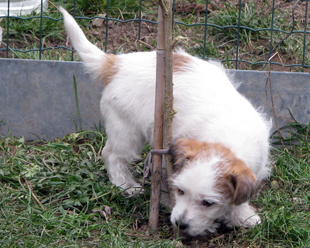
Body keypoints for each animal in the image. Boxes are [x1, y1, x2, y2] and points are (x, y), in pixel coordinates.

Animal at [58, 7, 272, 236]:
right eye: (181, 191)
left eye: (208, 203)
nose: (180, 224)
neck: (226, 139)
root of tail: (117, 63)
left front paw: (242, 216)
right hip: (127, 130)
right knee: (111, 155)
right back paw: (126, 185)